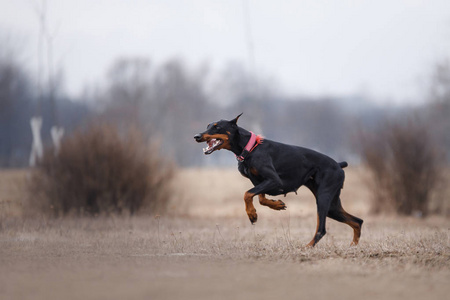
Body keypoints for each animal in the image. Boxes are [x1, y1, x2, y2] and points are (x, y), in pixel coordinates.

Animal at [193, 113, 362, 246]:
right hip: (332, 206)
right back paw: (352, 246)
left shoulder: (274, 180)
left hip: (323, 198)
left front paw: (252, 214)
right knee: (357, 221)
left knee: (321, 229)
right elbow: (259, 198)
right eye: (208, 125)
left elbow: (247, 194)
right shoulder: (258, 182)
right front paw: (276, 205)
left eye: (217, 127)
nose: (197, 136)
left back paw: (306, 247)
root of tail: (339, 165)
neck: (250, 147)